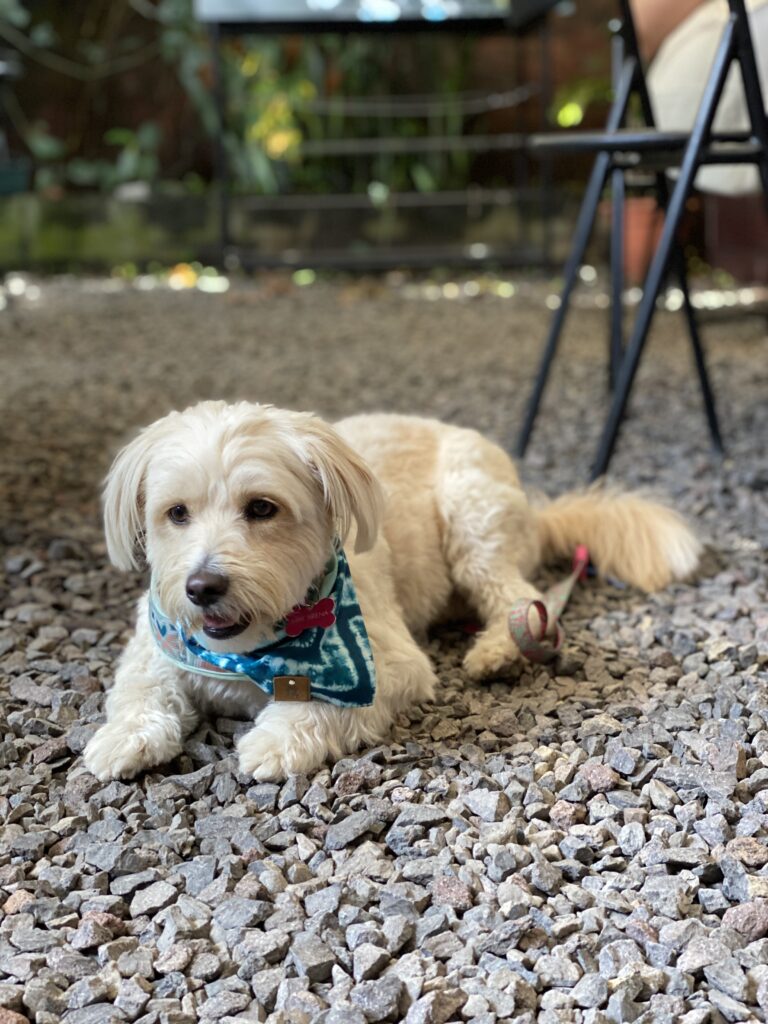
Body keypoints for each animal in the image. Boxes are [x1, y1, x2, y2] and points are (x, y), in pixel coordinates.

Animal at [83, 399, 704, 782]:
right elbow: (140, 690)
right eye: (176, 512)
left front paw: (276, 740)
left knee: (521, 597)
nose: (203, 587)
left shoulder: (391, 664)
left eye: (261, 508)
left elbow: (320, 706)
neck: (255, 649)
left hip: (471, 514)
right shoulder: (155, 643)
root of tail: (533, 508)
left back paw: (497, 651)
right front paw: (124, 738)